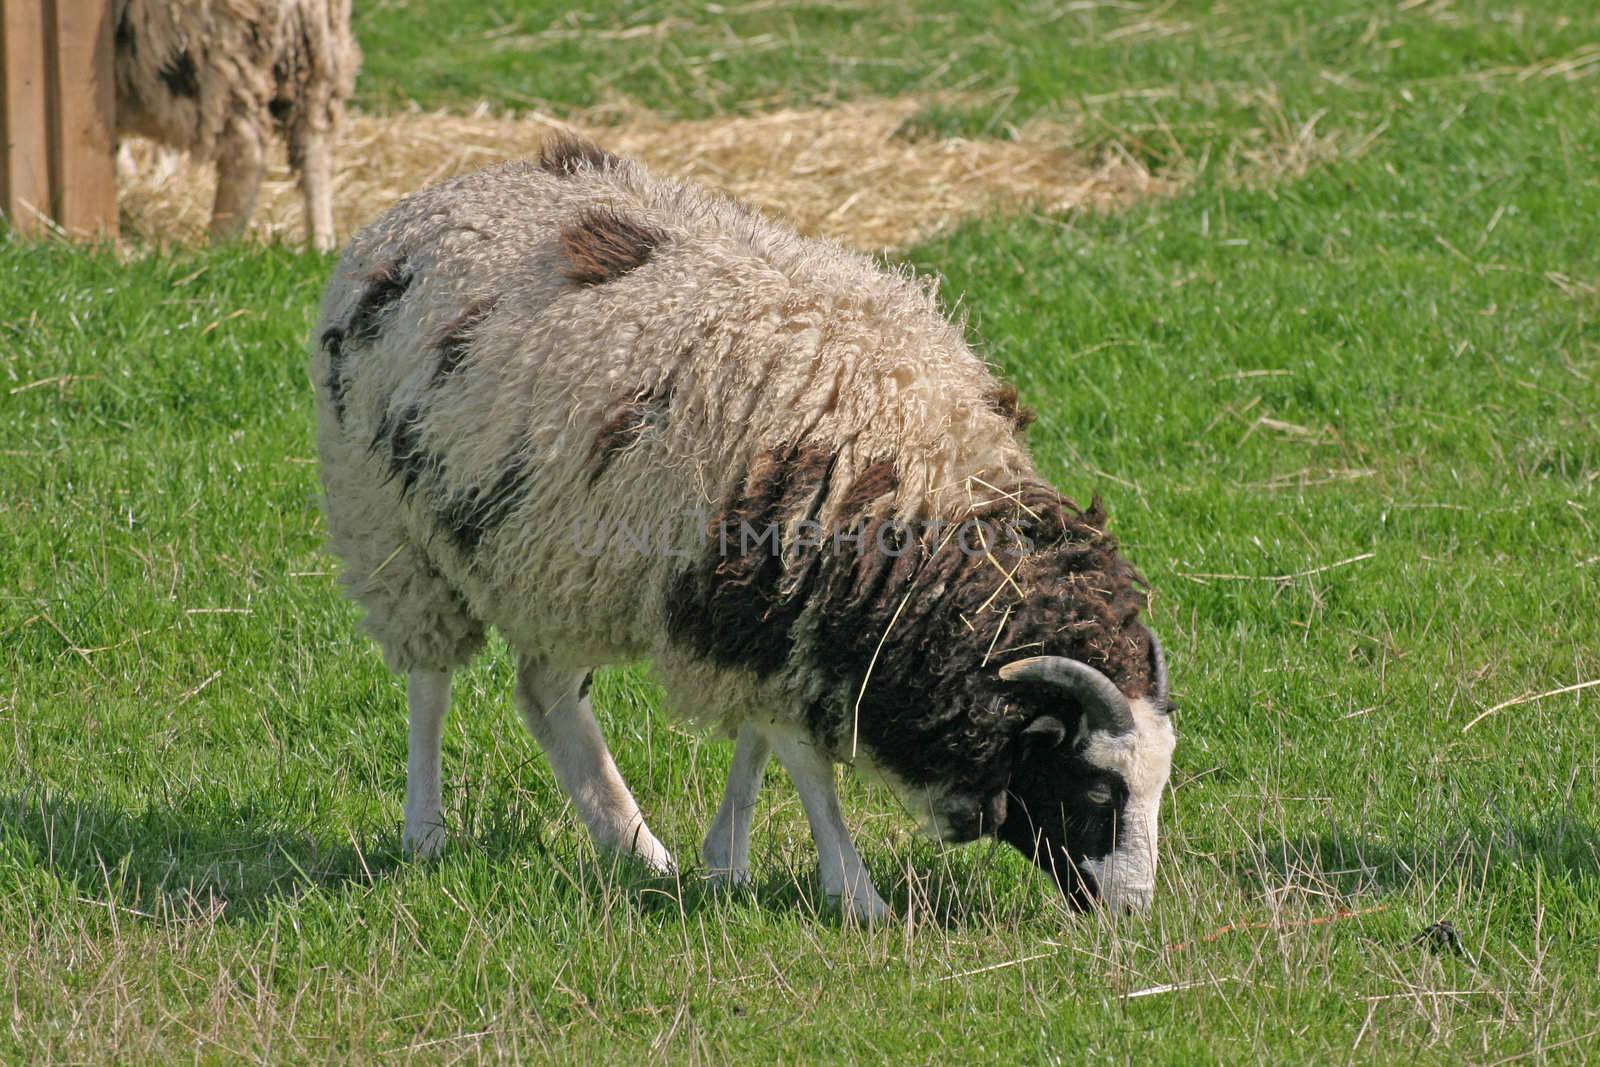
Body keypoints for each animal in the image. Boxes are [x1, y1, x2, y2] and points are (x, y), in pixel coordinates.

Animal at [112, 0, 360, 251]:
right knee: (315, 148)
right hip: (316, 55)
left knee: (247, 152)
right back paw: (319, 244)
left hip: (201, 55)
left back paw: (221, 246)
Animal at [305, 137, 1177, 921]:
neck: (915, 484)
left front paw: (724, 860)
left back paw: (634, 846)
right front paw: (857, 894)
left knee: (546, 693)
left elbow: (759, 739)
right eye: (1097, 786)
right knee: (430, 683)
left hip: (555, 554)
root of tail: (420, 204)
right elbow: (802, 756)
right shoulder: (754, 603)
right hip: (394, 532)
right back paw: (426, 832)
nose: (1133, 912)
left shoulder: (758, 613)